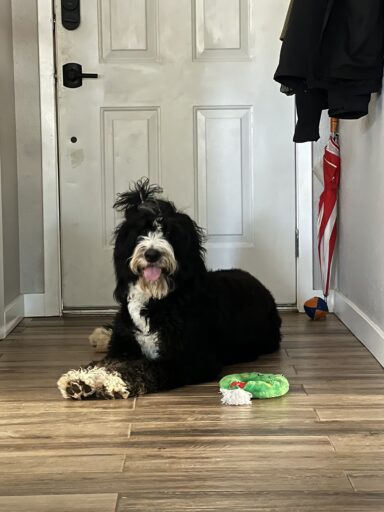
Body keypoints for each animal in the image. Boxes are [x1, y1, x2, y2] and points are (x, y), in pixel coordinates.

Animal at [57, 180, 280, 400]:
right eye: (141, 232)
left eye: (170, 233)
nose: (152, 254)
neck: (156, 299)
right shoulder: (123, 347)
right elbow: (105, 362)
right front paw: (80, 378)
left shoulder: (190, 358)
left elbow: (145, 367)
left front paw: (114, 381)